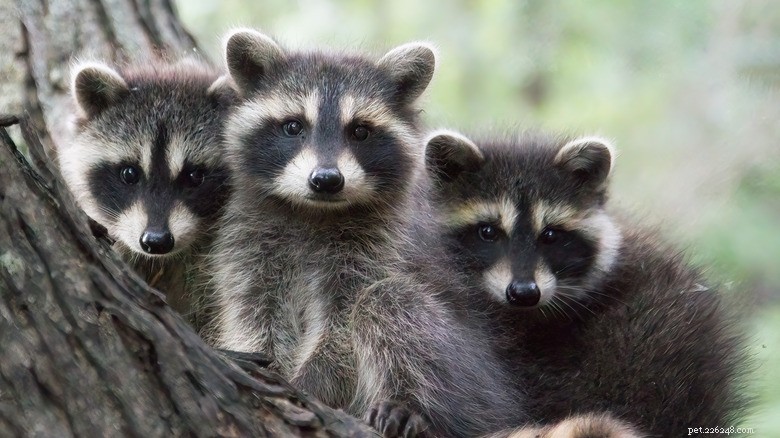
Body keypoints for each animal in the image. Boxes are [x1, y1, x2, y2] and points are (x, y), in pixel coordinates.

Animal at [209, 29, 526, 437]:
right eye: (294, 126)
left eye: (359, 131)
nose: (326, 180)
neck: (315, 212)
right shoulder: (248, 244)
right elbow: (254, 315)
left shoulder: (379, 246)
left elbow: (343, 325)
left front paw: (311, 382)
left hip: (473, 379)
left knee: (389, 304)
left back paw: (410, 405)